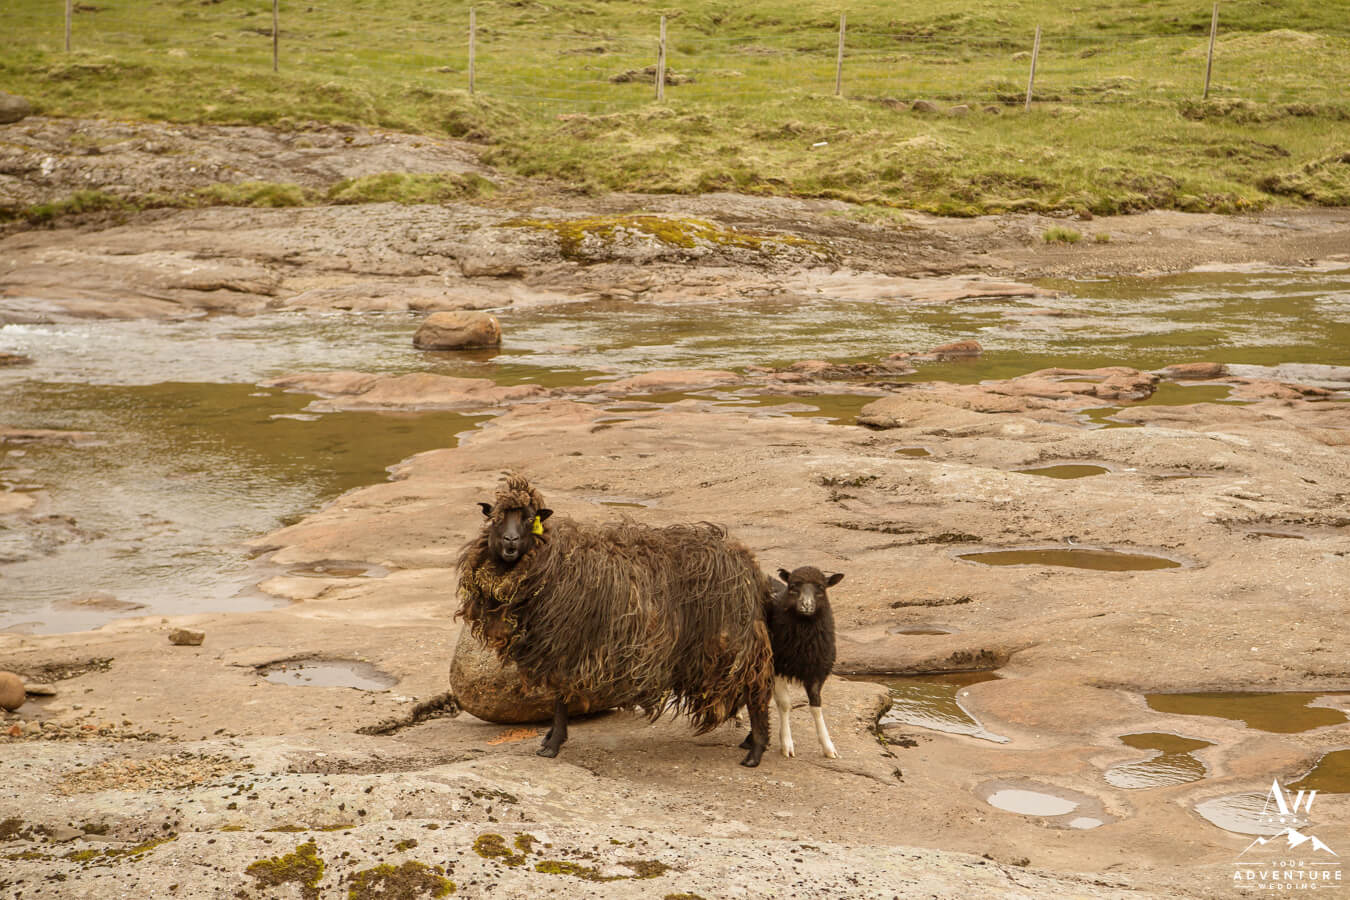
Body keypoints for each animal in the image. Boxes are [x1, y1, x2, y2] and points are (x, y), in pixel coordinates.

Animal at [456, 472, 775, 766]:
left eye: (528, 518)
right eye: (496, 519)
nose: (510, 541)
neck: (553, 560)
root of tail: (748, 562)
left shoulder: (566, 645)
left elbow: (560, 701)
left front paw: (553, 744)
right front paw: (549, 739)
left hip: (731, 641)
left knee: (757, 688)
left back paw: (756, 750)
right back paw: (752, 742)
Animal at [742, 565, 843, 759]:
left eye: (821, 587)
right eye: (793, 586)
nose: (806, 605)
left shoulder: (817, 671)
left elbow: (816, 705)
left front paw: (828, 746)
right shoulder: (777, 667)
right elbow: (785, 704)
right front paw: (787, 743)